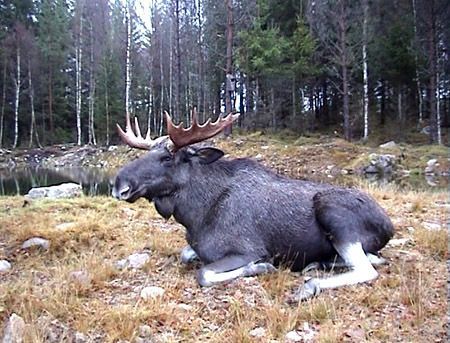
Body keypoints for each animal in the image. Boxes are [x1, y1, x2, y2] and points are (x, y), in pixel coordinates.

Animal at [112, 110, 394, 300]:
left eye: (167, 157)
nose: (118, 184)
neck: (195, 215)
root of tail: (389, 227)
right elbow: (186, 255)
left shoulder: (247, 249)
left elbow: (203, 273)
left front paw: (261, 266)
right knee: (372, 259)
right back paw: (318, 263)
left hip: (332, 212)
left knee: (368, 268)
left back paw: (309, 285)